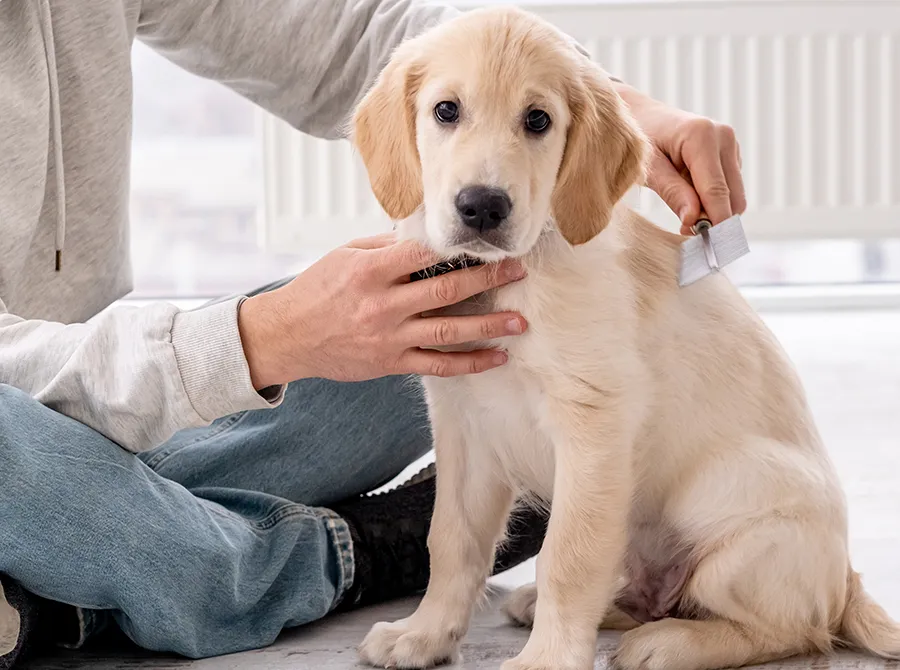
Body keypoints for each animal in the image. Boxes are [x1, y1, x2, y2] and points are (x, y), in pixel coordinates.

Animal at [352, 6, 900, 670]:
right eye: (446, 111)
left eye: (538, 121)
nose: (482, 207)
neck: (518, 273)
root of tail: (848, 581)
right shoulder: (462, 419)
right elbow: (452, 539)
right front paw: (425, 633)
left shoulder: (595, 419)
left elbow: (569, 555)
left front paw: (547, 660)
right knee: (648, 594)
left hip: (738, 516)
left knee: (791, 629)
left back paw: (671, 643)